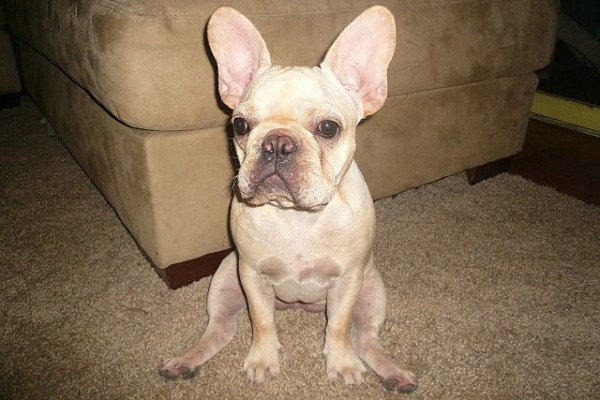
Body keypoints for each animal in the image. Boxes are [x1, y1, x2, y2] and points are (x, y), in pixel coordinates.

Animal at [159, 5, 418, 394]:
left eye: (328, 128)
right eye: (240, 125)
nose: (277, 143)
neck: (297, 216)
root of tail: (298, 307)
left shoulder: (348, 281)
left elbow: (338, 327)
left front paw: (341, 364)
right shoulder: (251, 275)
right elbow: (262, 322)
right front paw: (263, 359)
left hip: (372, 292)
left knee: (364, 337)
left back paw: (392, 373)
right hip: (225, 280)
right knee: (220, 329)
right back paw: (185, 362)